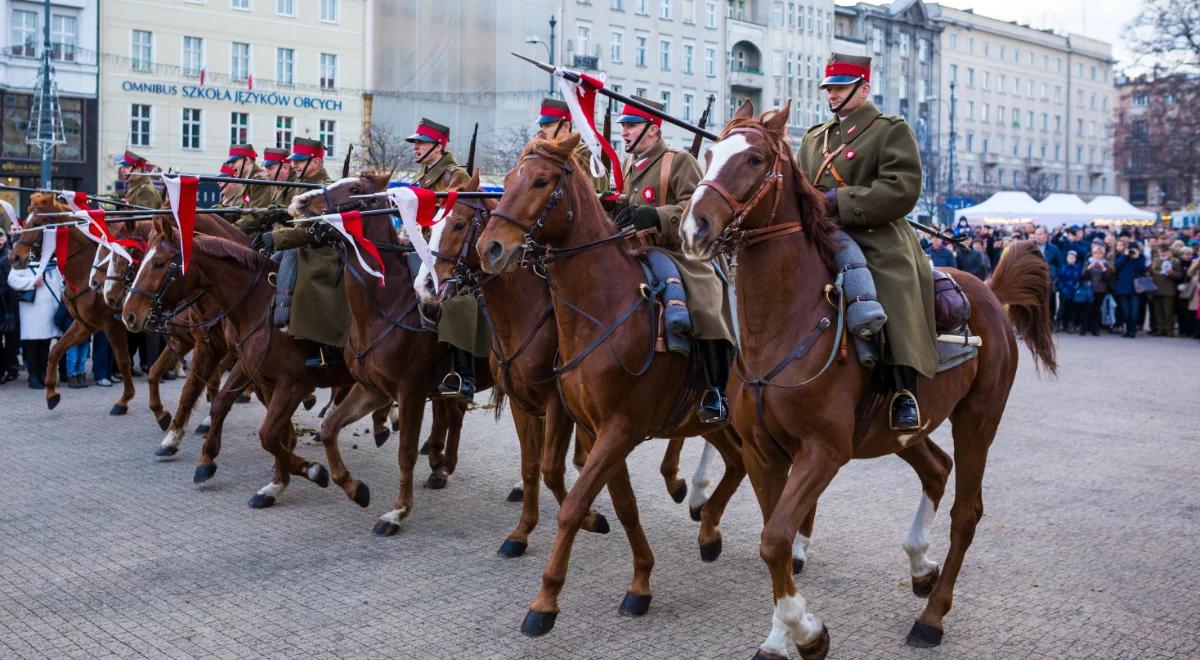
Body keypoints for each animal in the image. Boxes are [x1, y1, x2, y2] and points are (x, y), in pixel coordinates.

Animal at [9, 194, 139, 417]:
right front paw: (51, 394)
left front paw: (123, 400)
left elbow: (123, 360)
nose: (14, 257)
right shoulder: (86, 324)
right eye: (25, 221)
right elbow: (56, 350)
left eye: (38, 222)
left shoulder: (111, 324)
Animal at [288, 172, 494, 535]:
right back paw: (442, 468)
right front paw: (355, 488)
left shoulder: (410, 393)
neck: (385, 306)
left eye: (356, 189)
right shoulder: (373, 389)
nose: (300, 202)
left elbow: (406, 452)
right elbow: (329, 428)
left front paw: (398, 511)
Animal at [477, 134, 748, 638]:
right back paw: (708, 531)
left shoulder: (620, 428)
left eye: (540, 181)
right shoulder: (593, 426)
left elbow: (573, 502)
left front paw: (545, 603)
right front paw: (640, 581)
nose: (491, 248)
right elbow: (622, 504)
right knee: (739, 463)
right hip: (710, 420)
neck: (599, 312)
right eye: (509, 178)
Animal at [681, 100, 1056, 657]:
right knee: (936, 470)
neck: (785, 324)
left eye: (752, 159)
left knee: (966, 512)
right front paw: (781, 634)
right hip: (900, 428)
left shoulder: (823, 451)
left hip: (978, 421)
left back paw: (931, 615)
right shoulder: (764, 452)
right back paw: (920, 564)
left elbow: (776, 539)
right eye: (709, 155)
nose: (694, 228)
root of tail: (987, 288)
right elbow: (775, 538)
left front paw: (806, 632)